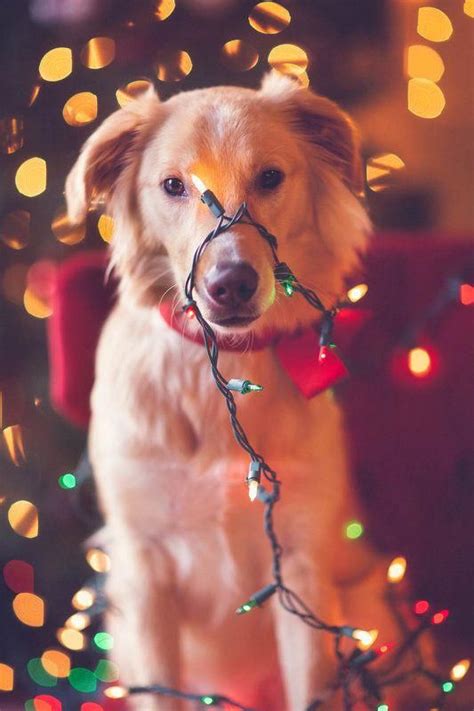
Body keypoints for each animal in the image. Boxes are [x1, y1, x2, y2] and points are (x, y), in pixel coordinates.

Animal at [65, 73, 410, 711]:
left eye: (270, 177)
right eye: (172, 185)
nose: (229, 284)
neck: (221, 371)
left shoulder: (298, 566)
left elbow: (311, 687)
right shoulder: (142, 568)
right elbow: (160, 691)